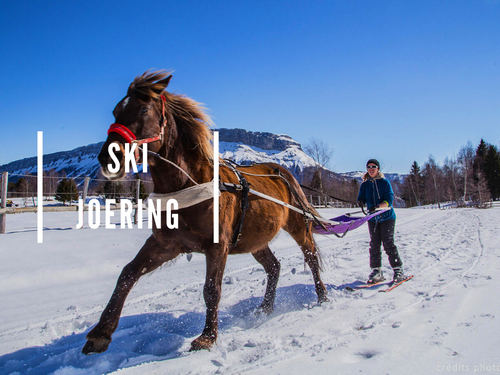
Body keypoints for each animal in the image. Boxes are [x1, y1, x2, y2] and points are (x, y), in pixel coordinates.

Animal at [82, 70, 330, 356]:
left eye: (143, 109)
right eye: (115, 111)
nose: (108, 158)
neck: (189, 184)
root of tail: (282, 172)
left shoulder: (217, 246)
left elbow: (212, 289)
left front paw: (207, 337)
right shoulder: (165, 244)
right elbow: (127, 274)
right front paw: (101, 333)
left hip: (298, 226)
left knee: (310, 257)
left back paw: (322, 296)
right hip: (254, 239)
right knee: (274, 267)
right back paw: (265, 307)